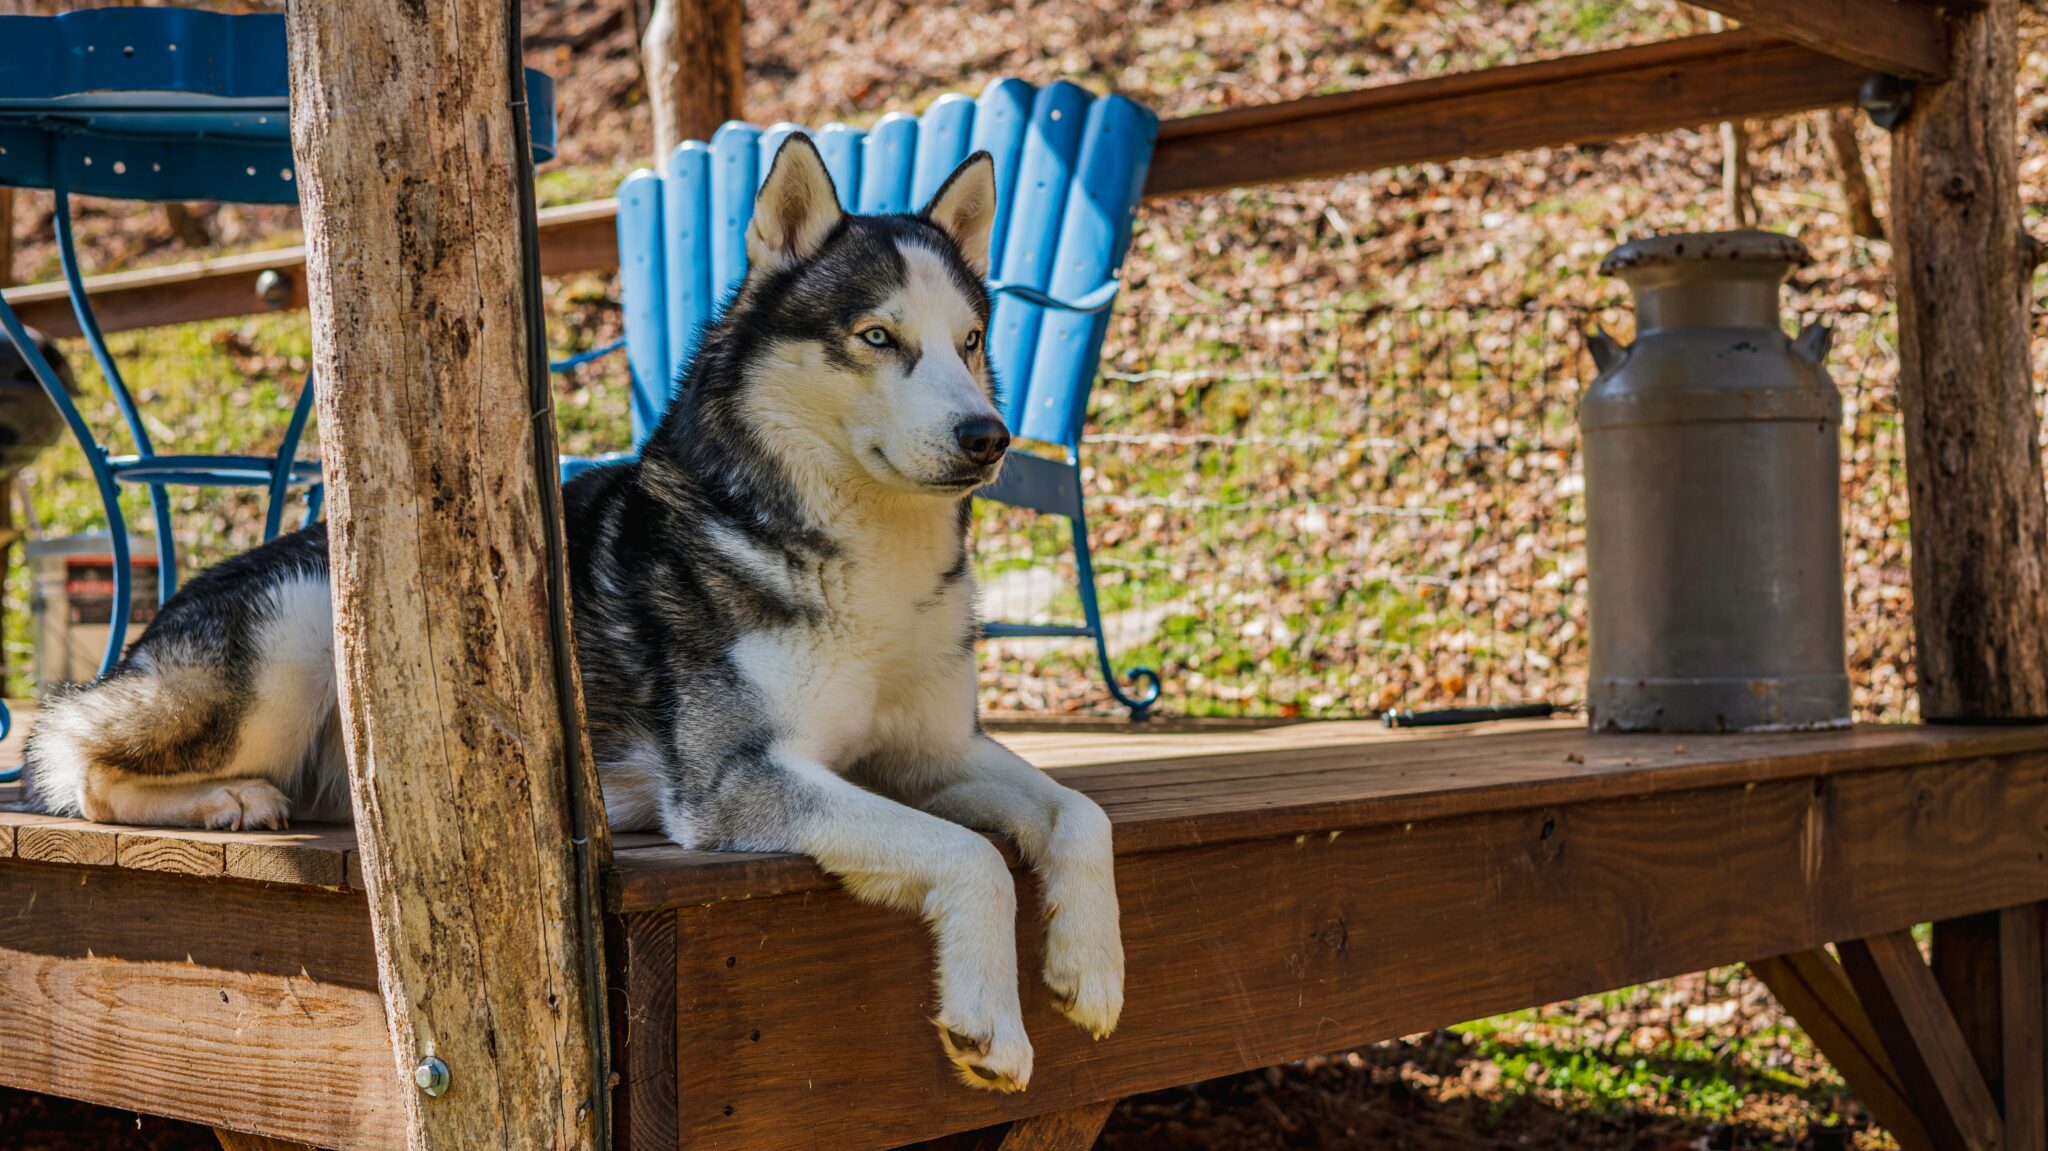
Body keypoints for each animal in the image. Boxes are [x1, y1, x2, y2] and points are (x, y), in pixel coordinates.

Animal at [24, 134, 1130, 1081]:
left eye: (971, 340)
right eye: (877, 336)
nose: (987, 435)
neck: (858, 555)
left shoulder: (932, 750)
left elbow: (1081, 812)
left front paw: (1091, 965)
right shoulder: (737, 779)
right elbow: (971, 853)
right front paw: (992, 1021)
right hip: (294, 634)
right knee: (82, 762)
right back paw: (227, 801)